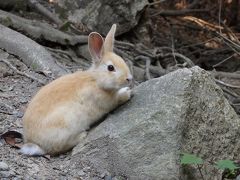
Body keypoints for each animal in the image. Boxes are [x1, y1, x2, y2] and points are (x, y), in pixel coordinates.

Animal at [20, 24, 133, 156]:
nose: (129, 79)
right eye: (111, 68)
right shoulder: (107, 101)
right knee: (58, 148)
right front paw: (127, 93)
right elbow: (117, 99)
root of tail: (32, 143)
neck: (95, 80)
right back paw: (82, 135)